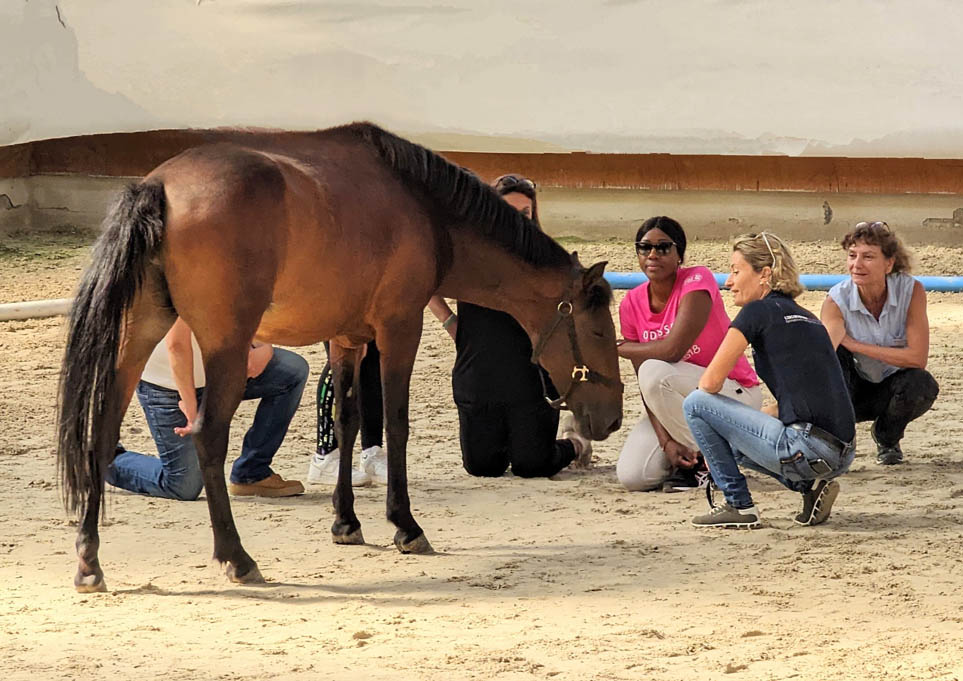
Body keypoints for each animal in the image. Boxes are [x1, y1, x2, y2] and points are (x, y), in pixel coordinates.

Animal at [56, 122, 624, 588]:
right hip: (226, 347)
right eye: (599, 328)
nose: (613, 417)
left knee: (100, 435)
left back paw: (89, 560)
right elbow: (395, 424)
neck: (423, 207)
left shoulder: (347, 338)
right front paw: (405, 526)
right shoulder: (400, 328)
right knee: (207, 437)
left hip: (138, 335)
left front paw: (346, 521)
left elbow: (350, 421)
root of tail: (159, 188)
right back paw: (237, 558)